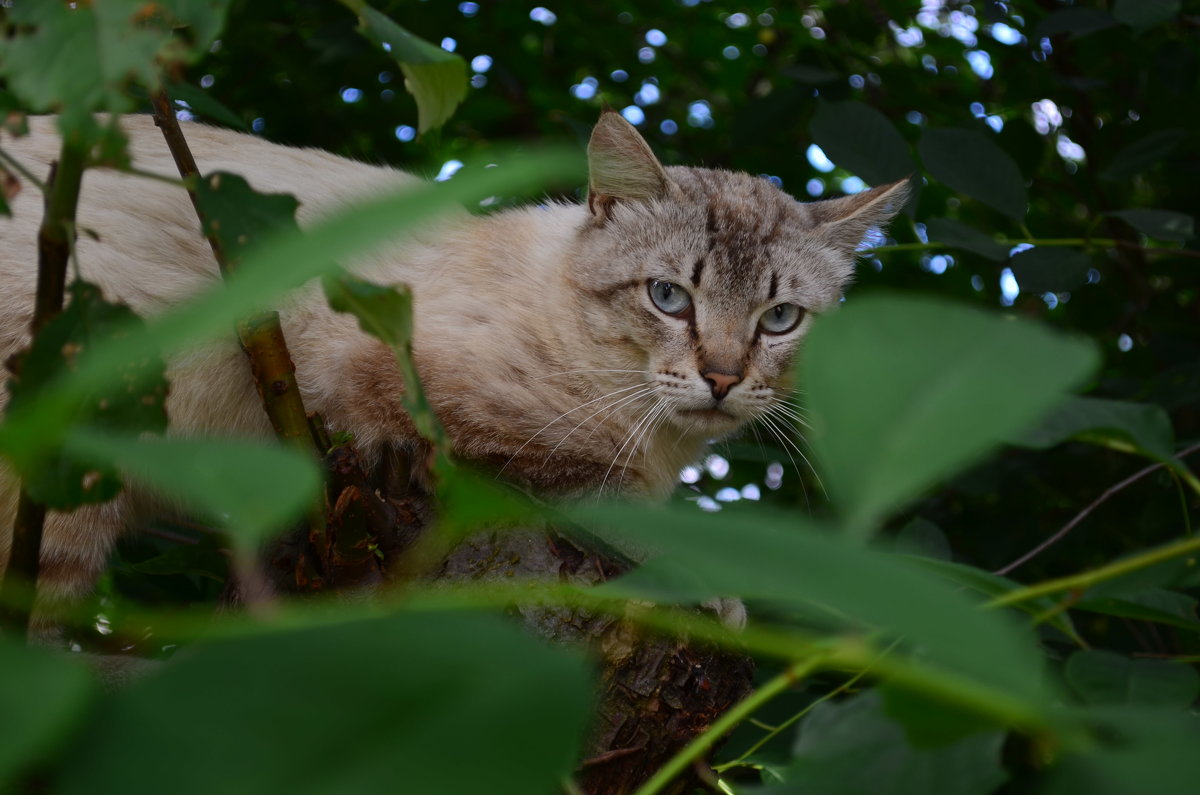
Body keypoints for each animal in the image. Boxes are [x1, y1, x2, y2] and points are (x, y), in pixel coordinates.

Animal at [0, 110, 902, 605]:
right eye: (669, 297)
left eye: (779, 319)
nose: (722, 378)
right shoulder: (408, 405)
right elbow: (614, 503)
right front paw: (724, 590)